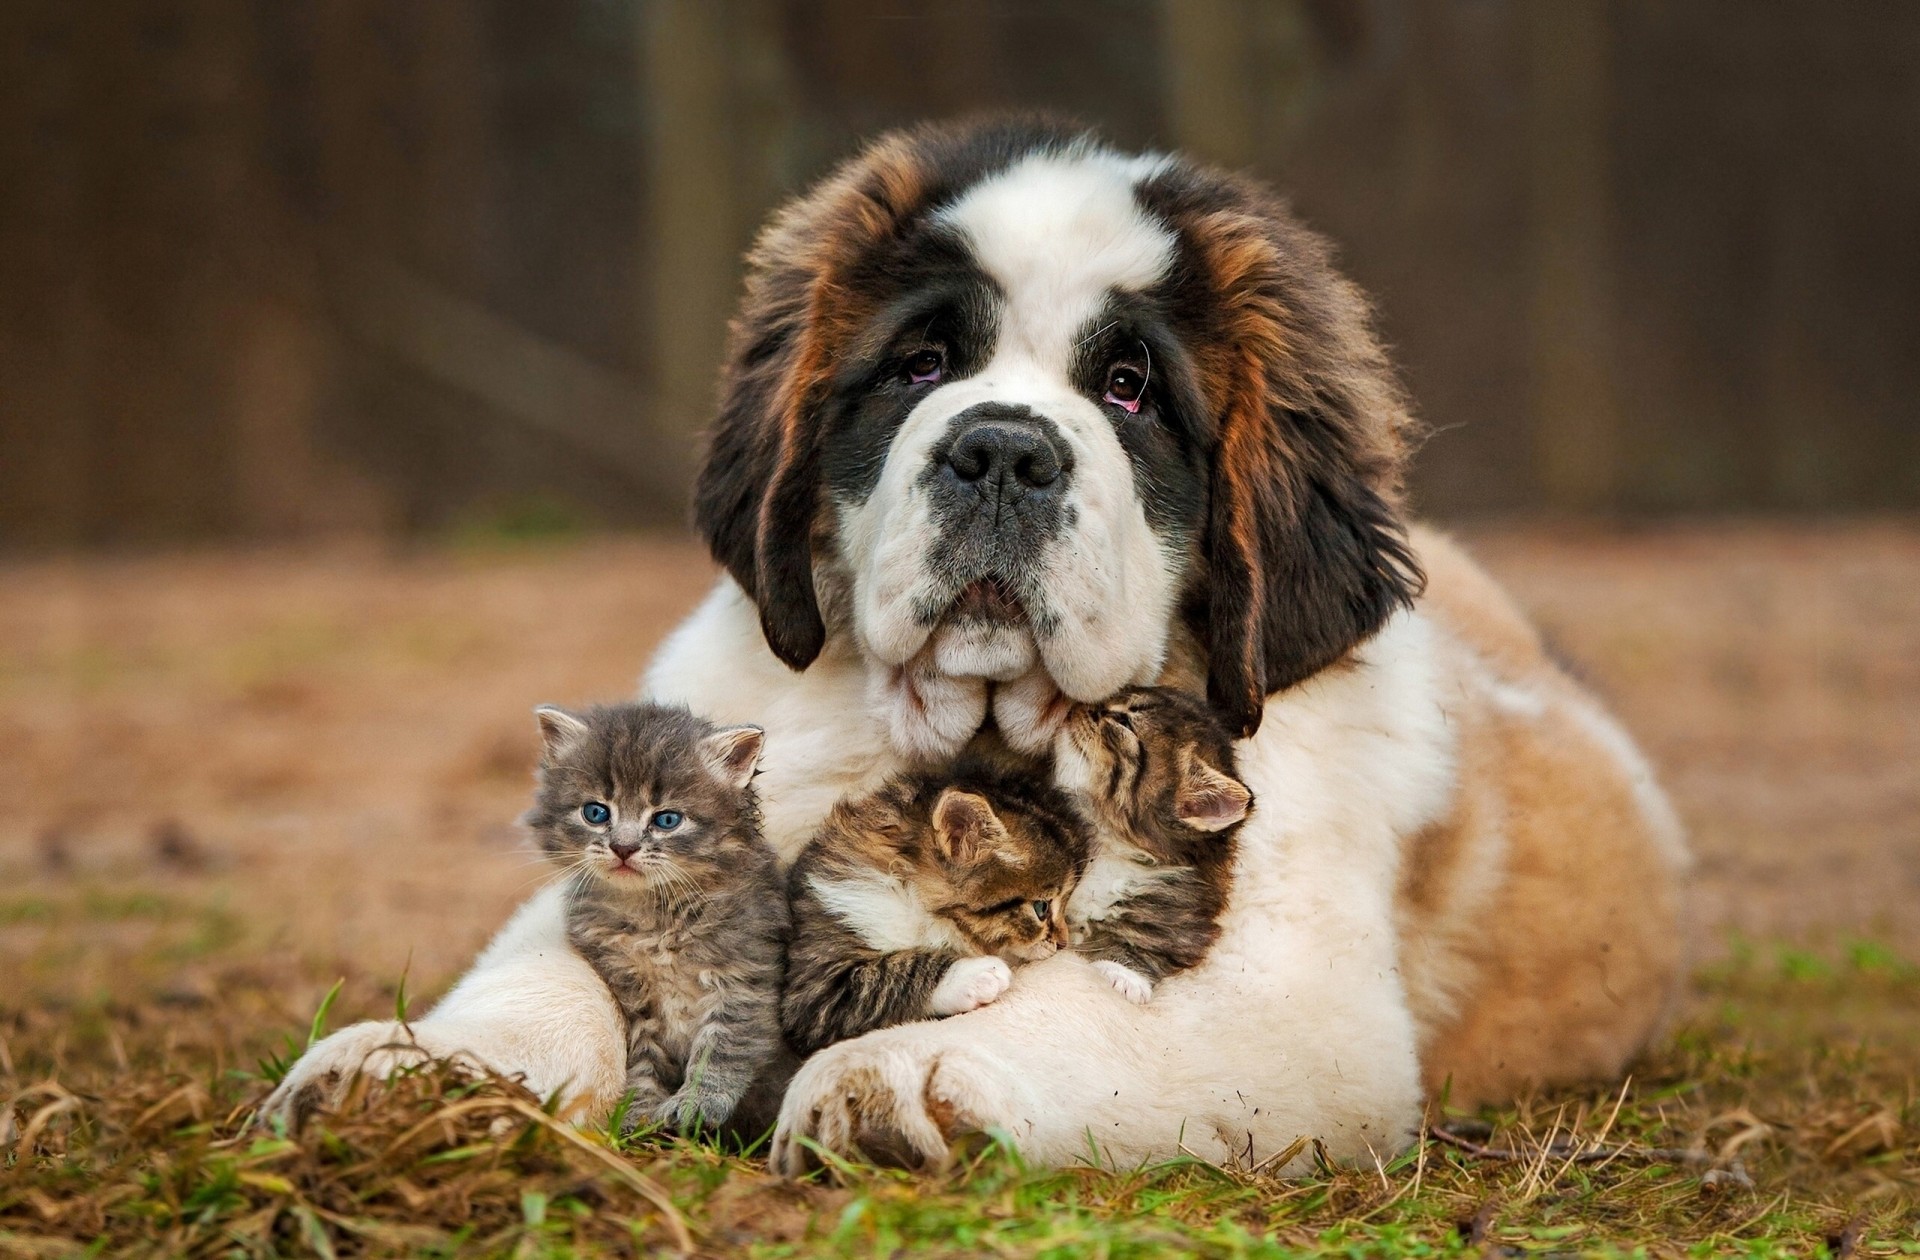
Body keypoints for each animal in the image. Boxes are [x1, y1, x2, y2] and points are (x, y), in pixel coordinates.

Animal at [526, 702, 787, 1137]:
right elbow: (643, 1060)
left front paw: (698, 1103)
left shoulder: (743, 980)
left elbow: (722, 1048)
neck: (653, 917)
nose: (623, 847)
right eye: (595, 813)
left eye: (667, 820)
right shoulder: (634, 998)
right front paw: (639, 1112)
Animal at [775, 764, 1082, 1060]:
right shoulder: (816, 990)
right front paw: (975, 974)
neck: (913, 901)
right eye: (1041, 907)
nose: (1063, 943)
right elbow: (892, 973)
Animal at [1059, 687, 1251, 1006]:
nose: (1078, 706)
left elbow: (1147, 945)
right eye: (1120, 695)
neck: (1110, 846)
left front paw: (1124, 975)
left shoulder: (1181, 919)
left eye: (1124, 721)